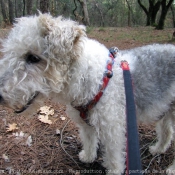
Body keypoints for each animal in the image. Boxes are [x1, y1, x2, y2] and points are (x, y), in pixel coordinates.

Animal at [0, 13, 175, 174]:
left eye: (33, 57)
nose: (0, 97)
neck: (94, 78)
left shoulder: (113, 130)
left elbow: (113, 158)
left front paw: (113, 171)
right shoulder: (85, 123)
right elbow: (89, 140)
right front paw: (88, 157)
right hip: (166, 111)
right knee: (167, 133)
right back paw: (157, 149)